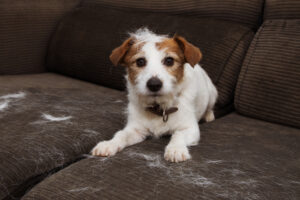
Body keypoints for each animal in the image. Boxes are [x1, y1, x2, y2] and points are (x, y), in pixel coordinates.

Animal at [92, 28, 218, 162]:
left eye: (169, 60)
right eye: (140, 61)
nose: (154, 84)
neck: (159, 108)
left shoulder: (190, 128)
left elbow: (178, 135)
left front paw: (176, 149)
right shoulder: (136, 130)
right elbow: (121, 135)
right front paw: (109, 144)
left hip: (212, 94)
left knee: (210, 107)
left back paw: (209, 116)